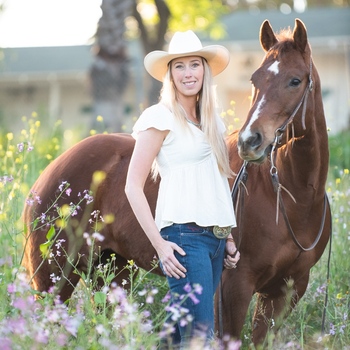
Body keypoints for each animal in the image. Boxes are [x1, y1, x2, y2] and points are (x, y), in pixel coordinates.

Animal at [22, 20, 330, 346]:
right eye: (255, 79)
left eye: (295, 81)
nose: (250, 141)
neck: (292, 201)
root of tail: (50, 173)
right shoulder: (234, 287)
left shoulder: (287, 290)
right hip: (53, 280)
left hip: (112, 274)